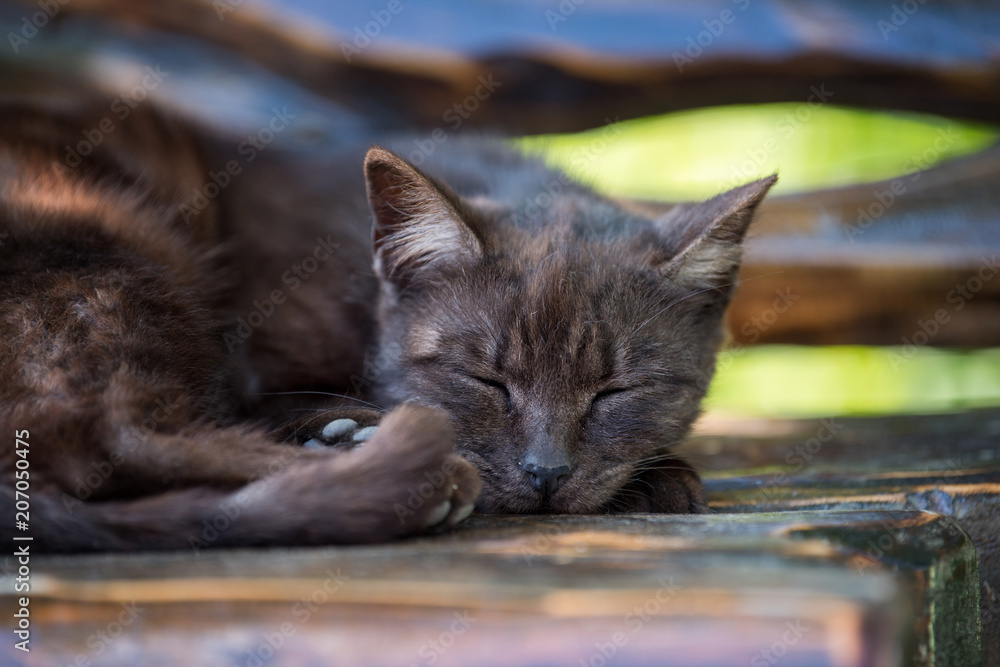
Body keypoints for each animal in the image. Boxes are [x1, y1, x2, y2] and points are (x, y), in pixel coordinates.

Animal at [0, 96, 776, 552]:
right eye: (484, 379)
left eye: (616, 391)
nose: (546, 472)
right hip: (114, 250)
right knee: (103, 434)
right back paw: (391, 468)